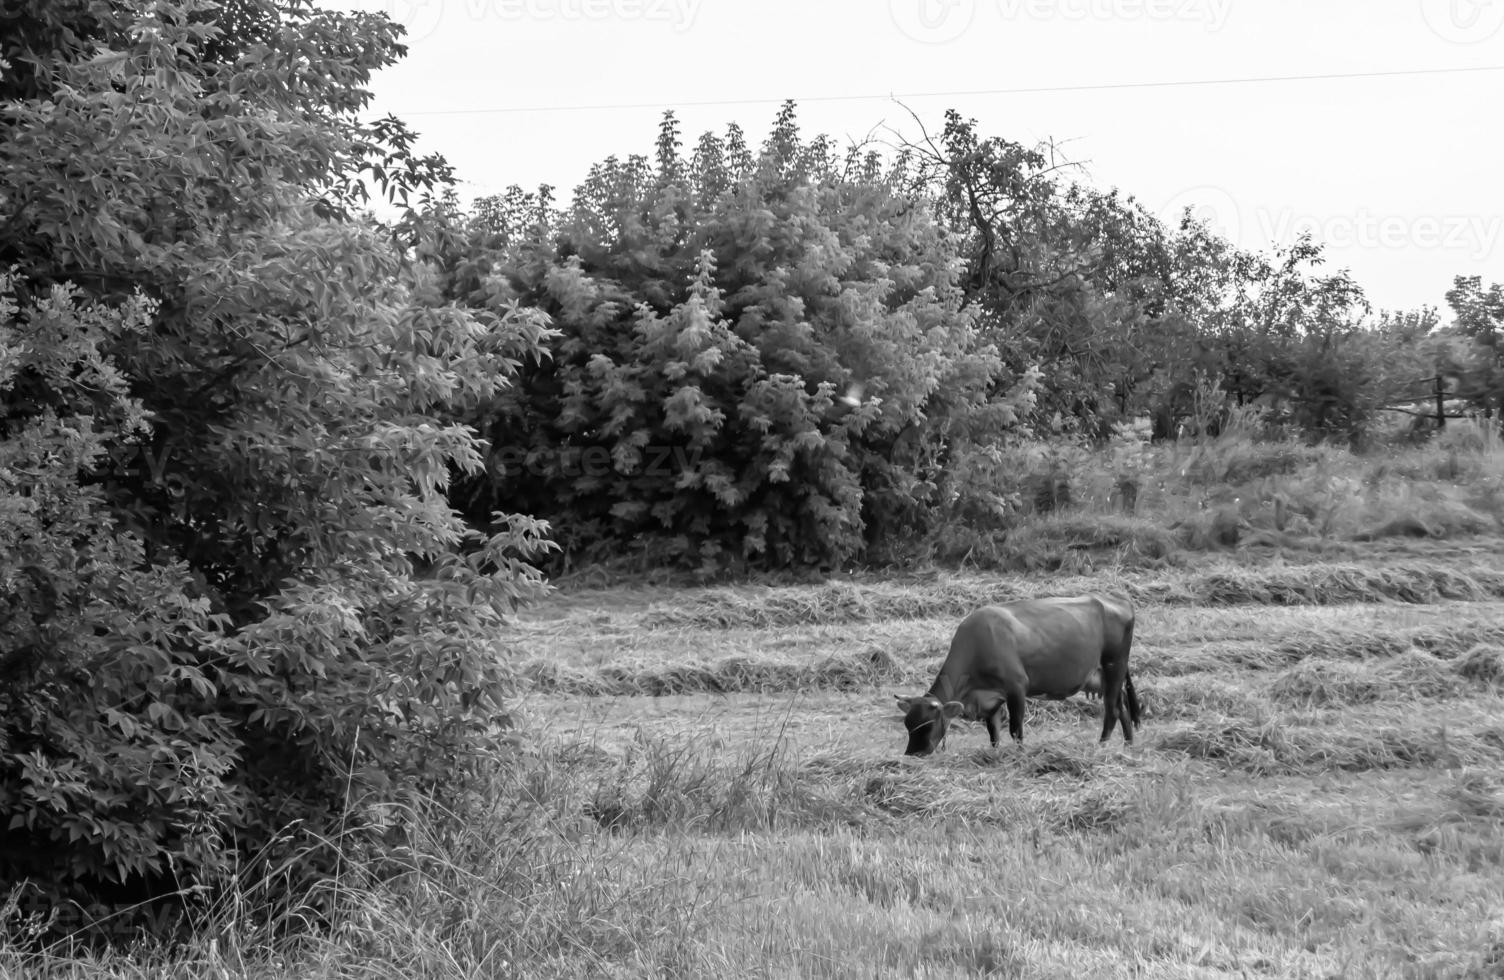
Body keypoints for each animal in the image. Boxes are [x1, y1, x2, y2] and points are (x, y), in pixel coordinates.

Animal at [890, 589, 1137, 757]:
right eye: (908, 725)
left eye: (929, 725)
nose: (912, 754)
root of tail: (1118, 600)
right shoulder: (990, 700)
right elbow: (993, 734)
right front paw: (994, 755)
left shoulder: (1017, 687)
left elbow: (1016, 730)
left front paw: (1019, 755)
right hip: (1104, 677)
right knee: (1123, 706)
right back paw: (1129, 747)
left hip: (1114, 666)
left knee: (1112, 711)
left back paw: (1101, 747)